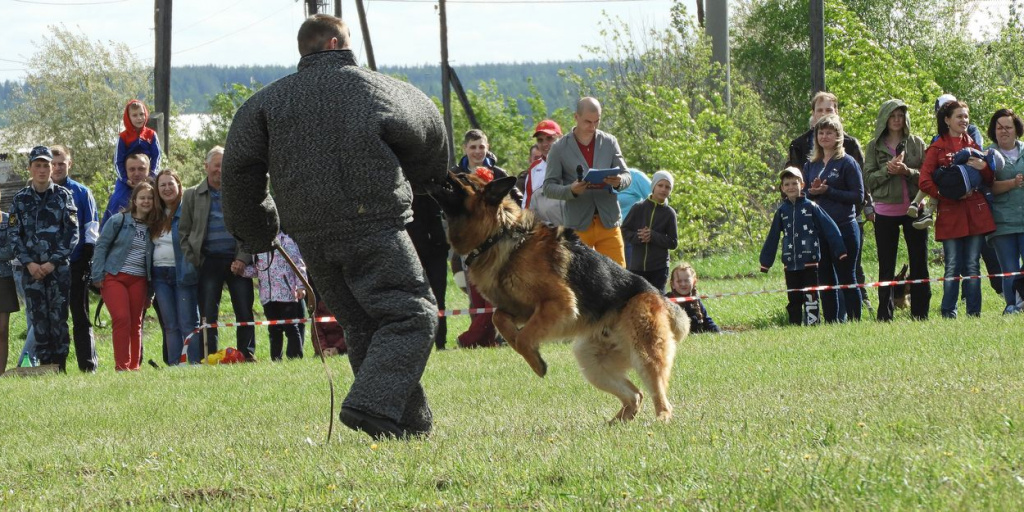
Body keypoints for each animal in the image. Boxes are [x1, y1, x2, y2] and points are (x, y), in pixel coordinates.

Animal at [432, 171, 688, 419]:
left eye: (462, 178)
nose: (438, 173)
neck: (499, 233)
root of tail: (659, 296)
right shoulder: (521, 309)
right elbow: (498, 319)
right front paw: (519, 344)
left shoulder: (558, 303)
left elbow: (523, 338)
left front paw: (536, 362)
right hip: (592, 362)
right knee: (635, 395)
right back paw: (615, 423)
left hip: (644, 354)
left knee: (659, 397)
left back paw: (660, 420)